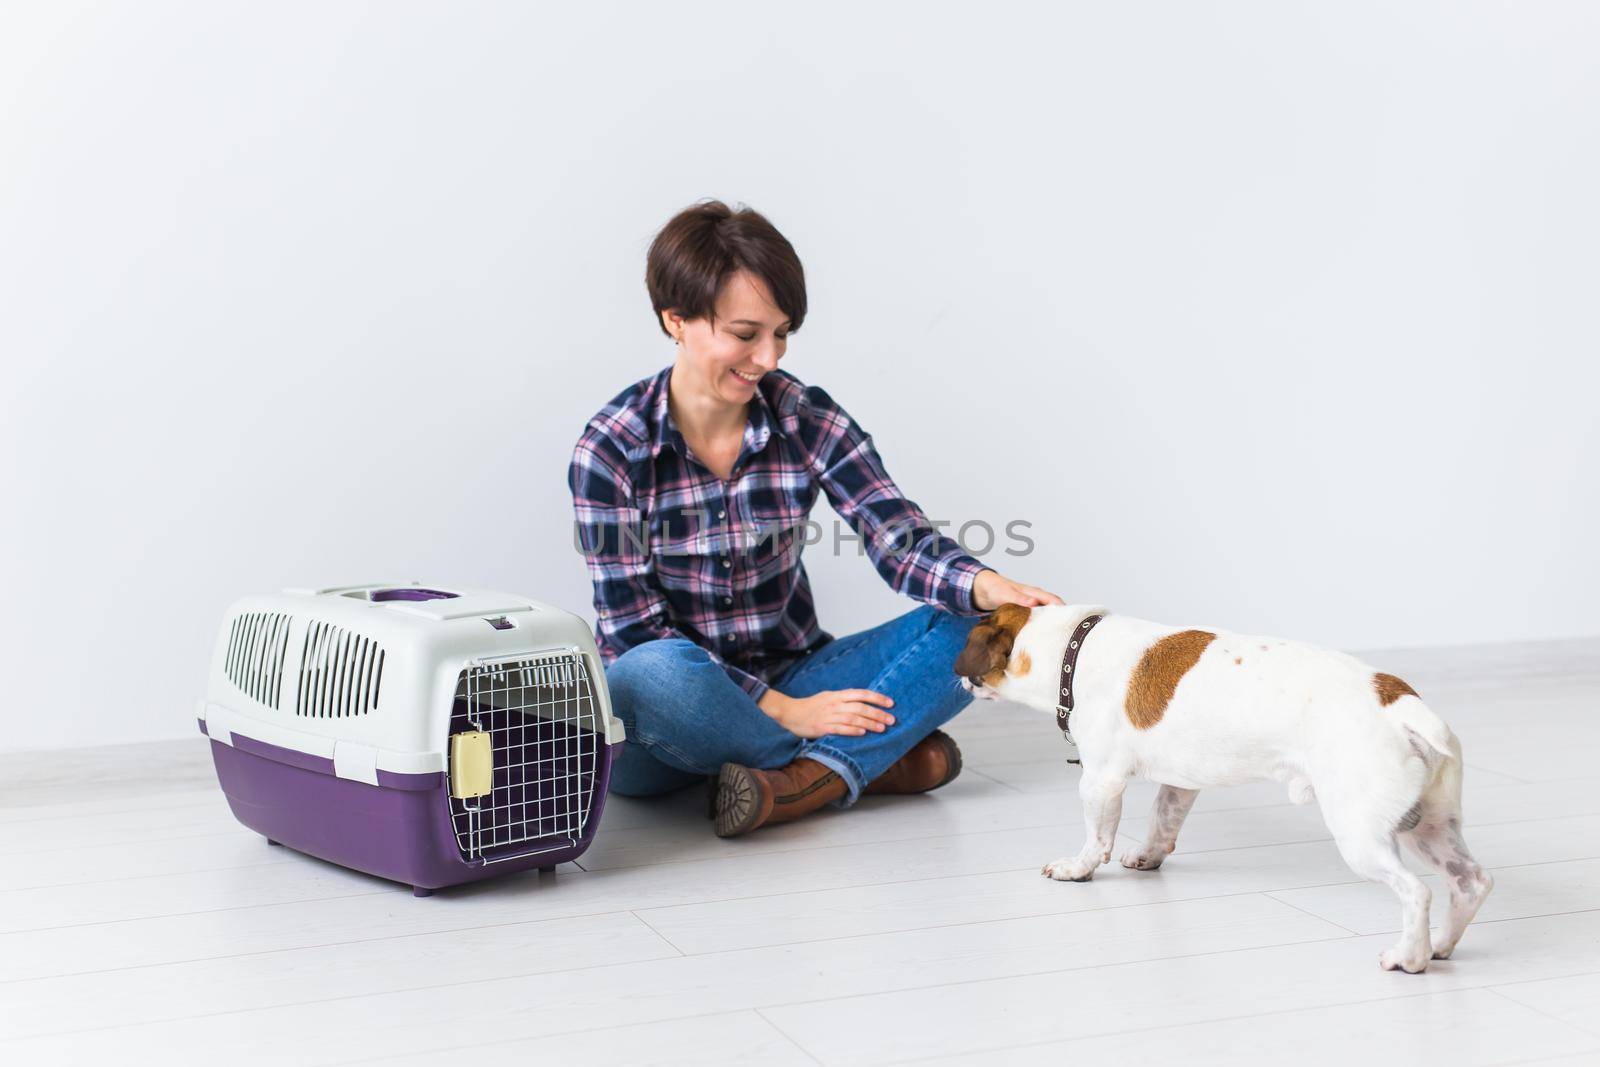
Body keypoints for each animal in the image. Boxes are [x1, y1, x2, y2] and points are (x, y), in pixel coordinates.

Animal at [953, 604, 1491, 972]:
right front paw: (1148, 856)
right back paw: (1441, 945)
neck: (1074, 647)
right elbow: (1162, 820)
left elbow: (1097, 838)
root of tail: (1400, 705)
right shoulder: (1179, 783)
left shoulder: (1101, 780)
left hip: (1360, 833)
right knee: (1469, 882)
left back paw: (1410, 956)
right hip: (1428, 826)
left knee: (1416, 891)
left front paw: (1077, 868)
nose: (961, 683)